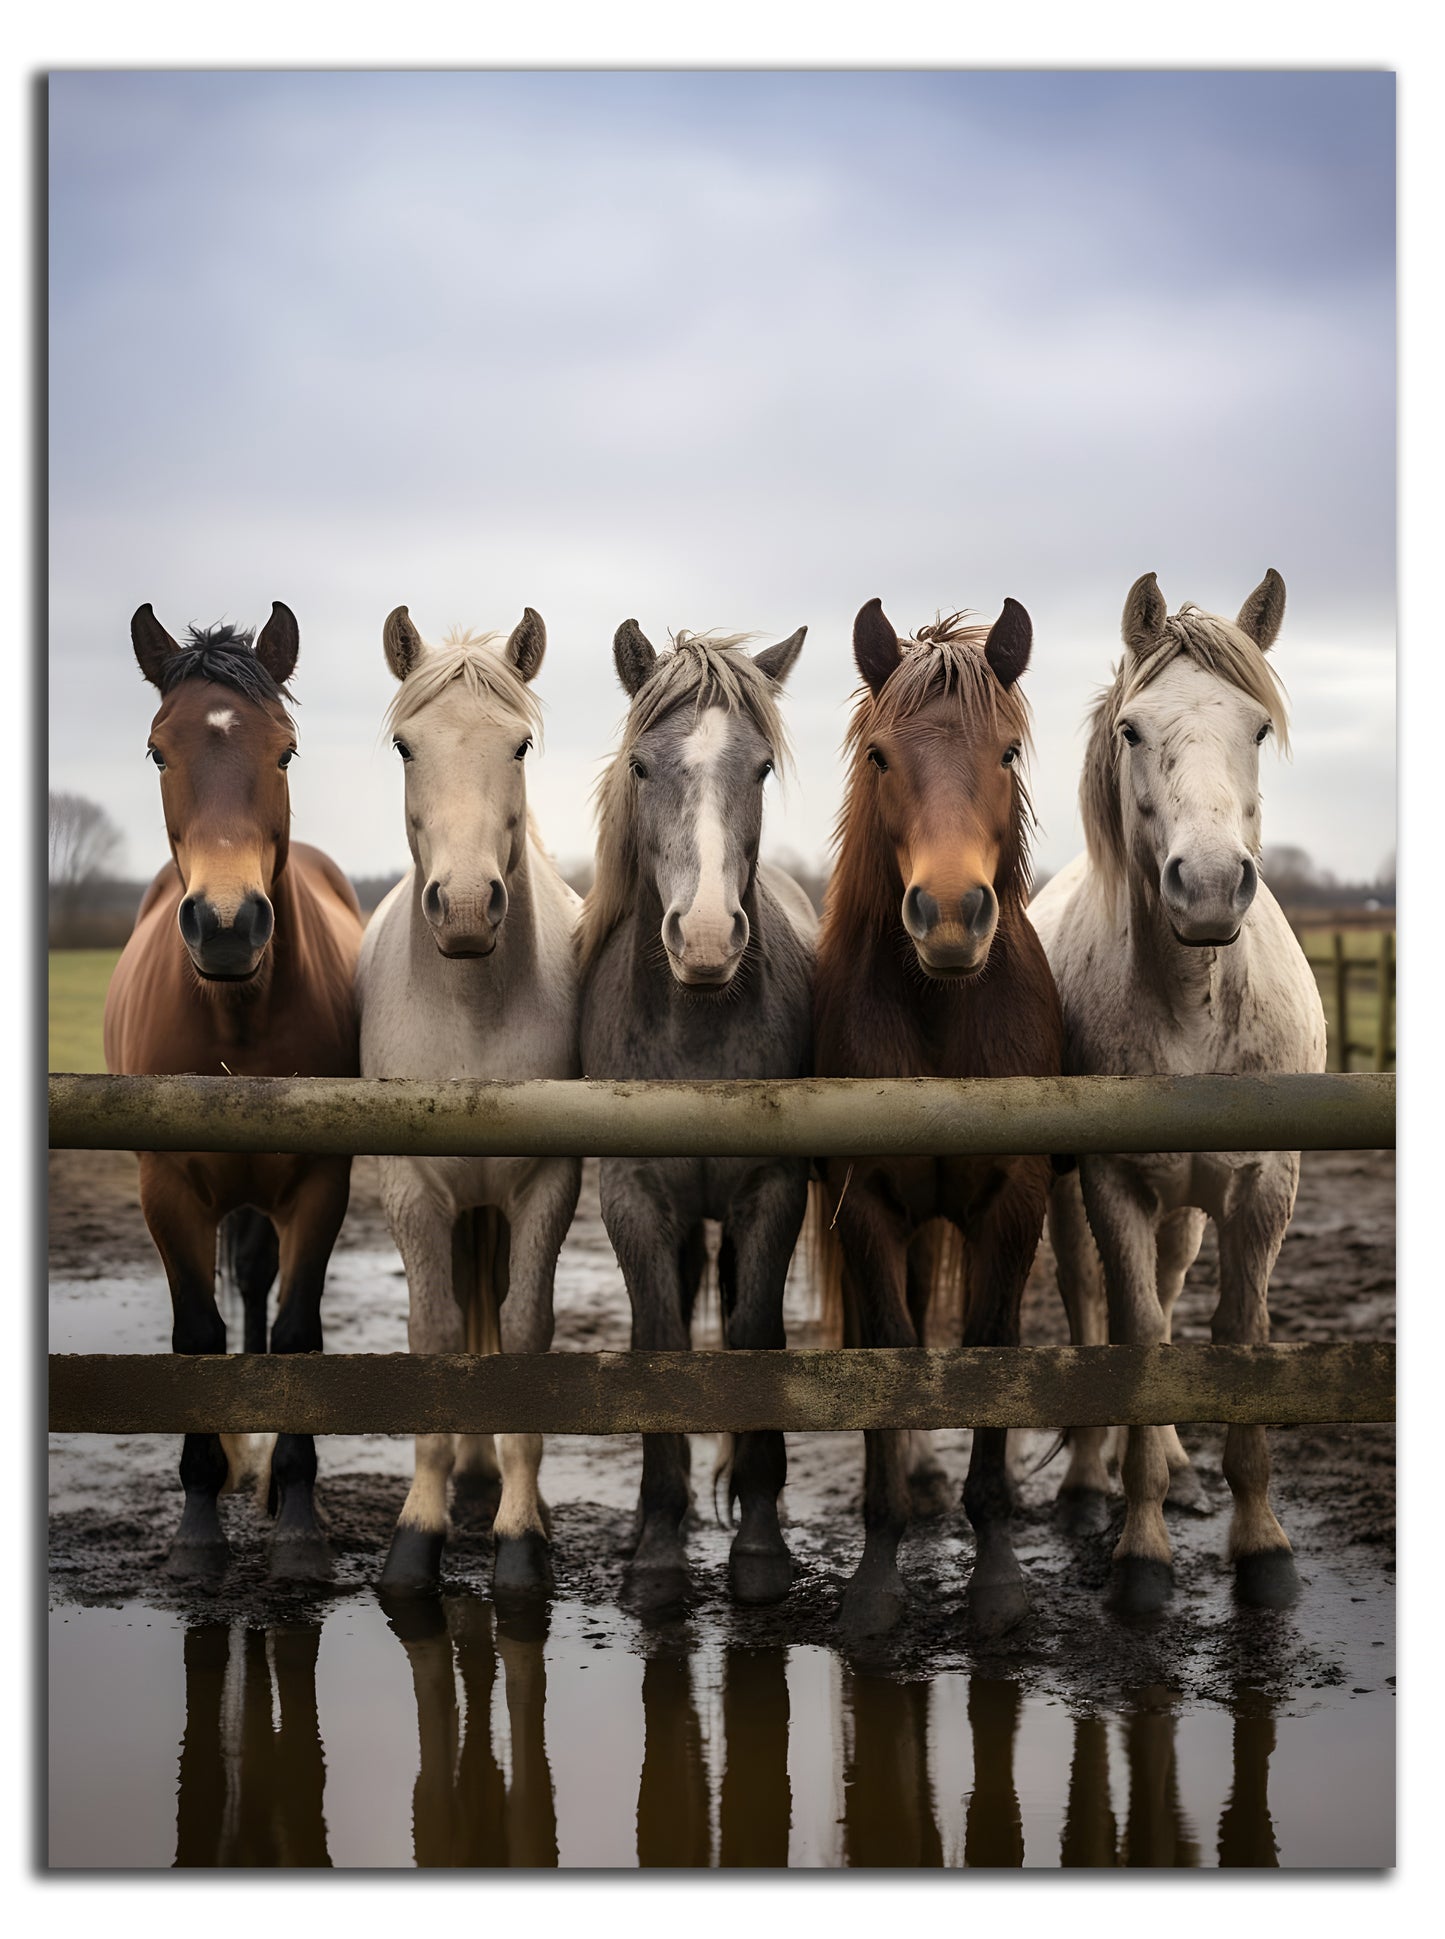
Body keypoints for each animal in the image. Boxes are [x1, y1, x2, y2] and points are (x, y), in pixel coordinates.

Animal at [103, 604, 363, 1582]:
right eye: (156, 750)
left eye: (284, 751)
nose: (224, 923)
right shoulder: (166, 1189)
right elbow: (197, 1337)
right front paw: (197, 1527)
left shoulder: (321, 1184)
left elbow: (292, 1334)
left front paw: (295, 1521)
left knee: (256, 1283)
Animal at [1028, 570, 1326, 1615]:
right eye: (1131, 728)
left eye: (1258, 728)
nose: (1204, 886)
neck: (1195, 1009)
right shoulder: (1112, 1183)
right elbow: (1139, 1344)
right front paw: (1141, 1551)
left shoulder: (1263, 1187)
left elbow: (1236, 1342)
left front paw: (1260, 1543)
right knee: (1097, 1306)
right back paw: (1091, 1483)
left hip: (1190, 1206)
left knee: (1158, 1286)